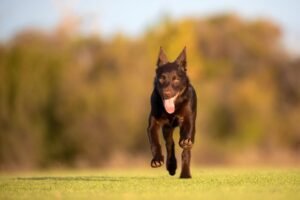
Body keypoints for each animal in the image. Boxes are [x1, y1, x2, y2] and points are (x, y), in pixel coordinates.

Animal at [147, 46, 197, 178]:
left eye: (176, 80)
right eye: (161, 78)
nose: (167, 93)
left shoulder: (187, 118)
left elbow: (187, 133)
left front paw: (184, 141)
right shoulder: (153, 124)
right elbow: (155, 142)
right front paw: (157, 160)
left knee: (186, 152)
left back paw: (185, 174)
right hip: (167, 129)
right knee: (170, 144)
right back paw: (171, 166)